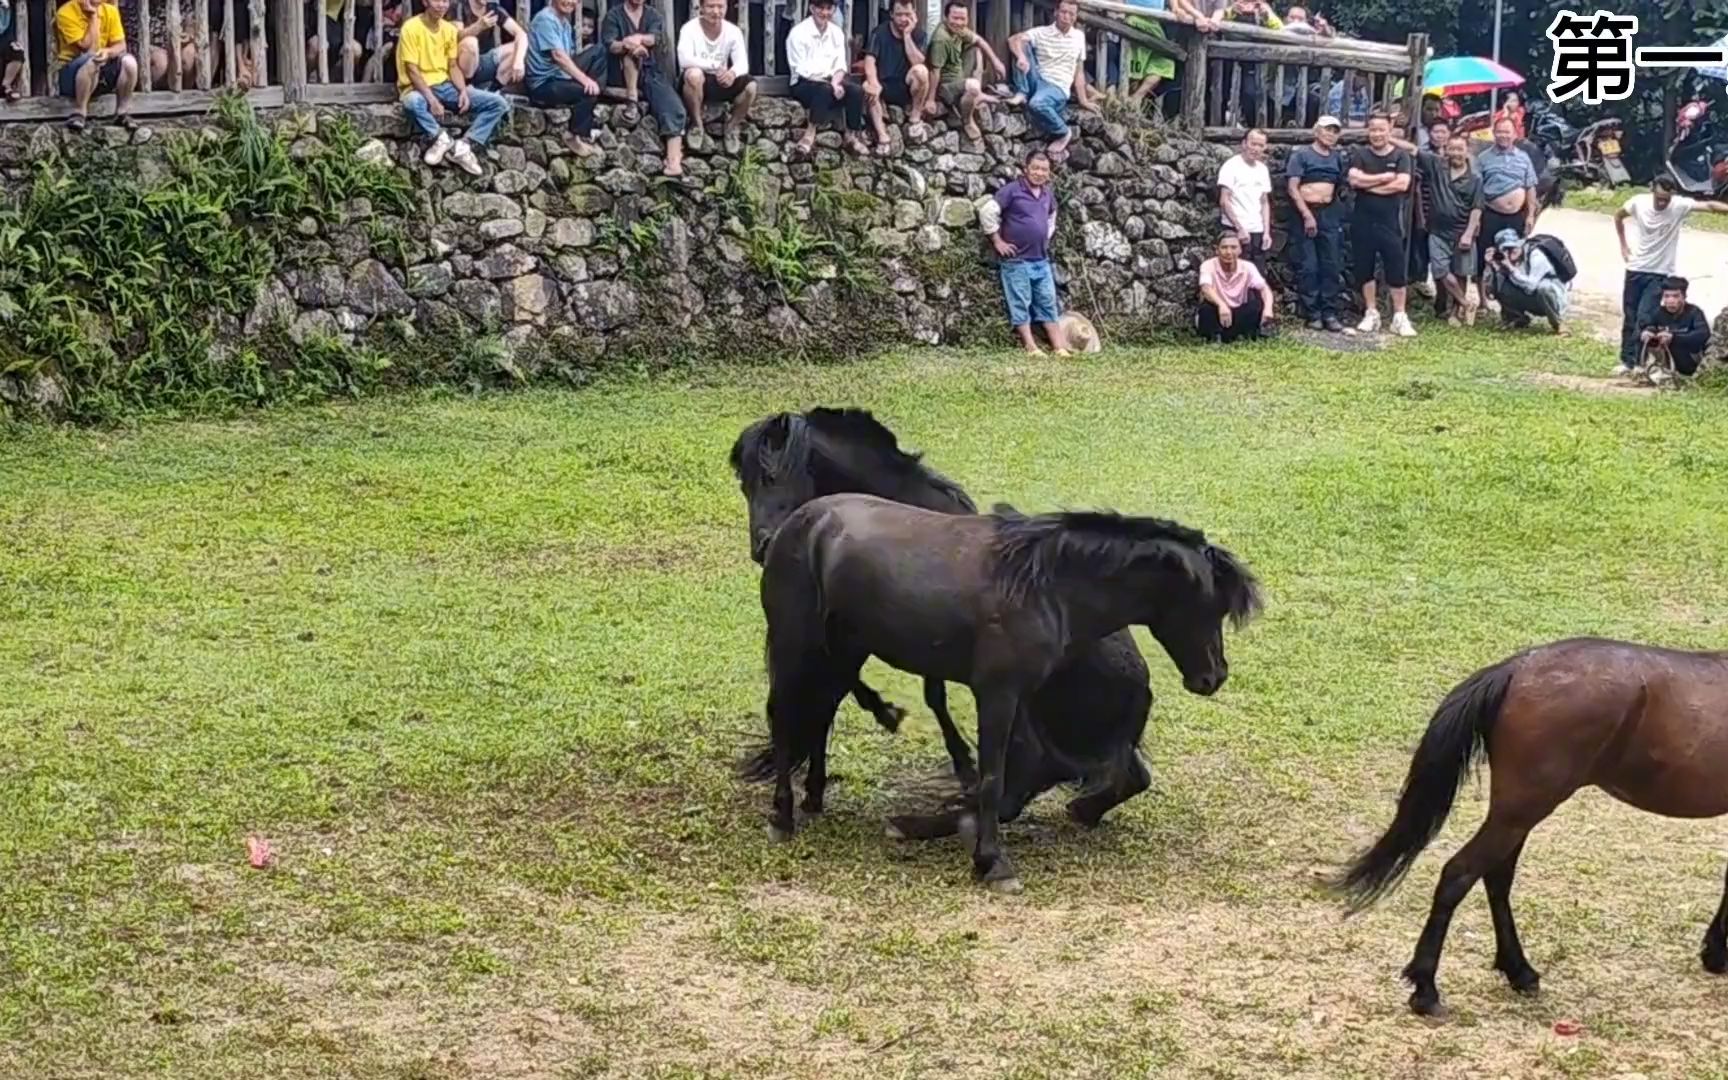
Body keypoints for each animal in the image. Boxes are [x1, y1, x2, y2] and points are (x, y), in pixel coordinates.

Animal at [725, 406, 1147, 832]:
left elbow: (922, 696)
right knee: (1126, 777)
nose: (763, 546)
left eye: (773, 476)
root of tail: (1141, 693)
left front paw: (948, 754)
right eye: (744, 485)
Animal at [763, 494, 1264, 891]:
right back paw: (783, 817)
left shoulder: (1023, 698)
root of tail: (801, 520)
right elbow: (991, 777)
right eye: (1210, 605)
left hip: (843, 650)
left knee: (821, 713)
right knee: (784, 717)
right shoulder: (997, 693)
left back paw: (814, 798)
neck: (1042, 587)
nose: (1213, 677)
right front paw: (993, 863)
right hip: (796, 644)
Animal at [1340, 635, 1728, 1016]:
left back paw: (1518, 971)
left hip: (1515, 813)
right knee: (1459, 873)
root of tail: (1515, 668)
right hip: (1522, 810)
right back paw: (1426, 989)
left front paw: (1715, 952)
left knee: (1495, 877)